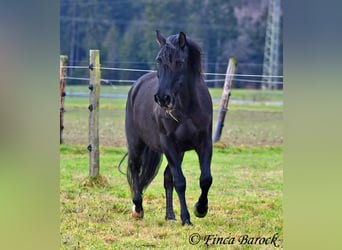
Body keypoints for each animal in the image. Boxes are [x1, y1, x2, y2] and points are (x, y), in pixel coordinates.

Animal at [124, 30, 212, 226]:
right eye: (159, 60)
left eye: (179, 62)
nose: (162, 98)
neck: (187, 108)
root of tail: (136, 86)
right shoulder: (168, 144)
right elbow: (180, 181)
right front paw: (186, 218)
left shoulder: (204, 143)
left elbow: (205, 179)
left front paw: (200, 209)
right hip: (136, 143)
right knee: (135, 168)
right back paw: (138, 208)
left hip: (179, 152)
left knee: (166, 177)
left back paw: (170, 215)